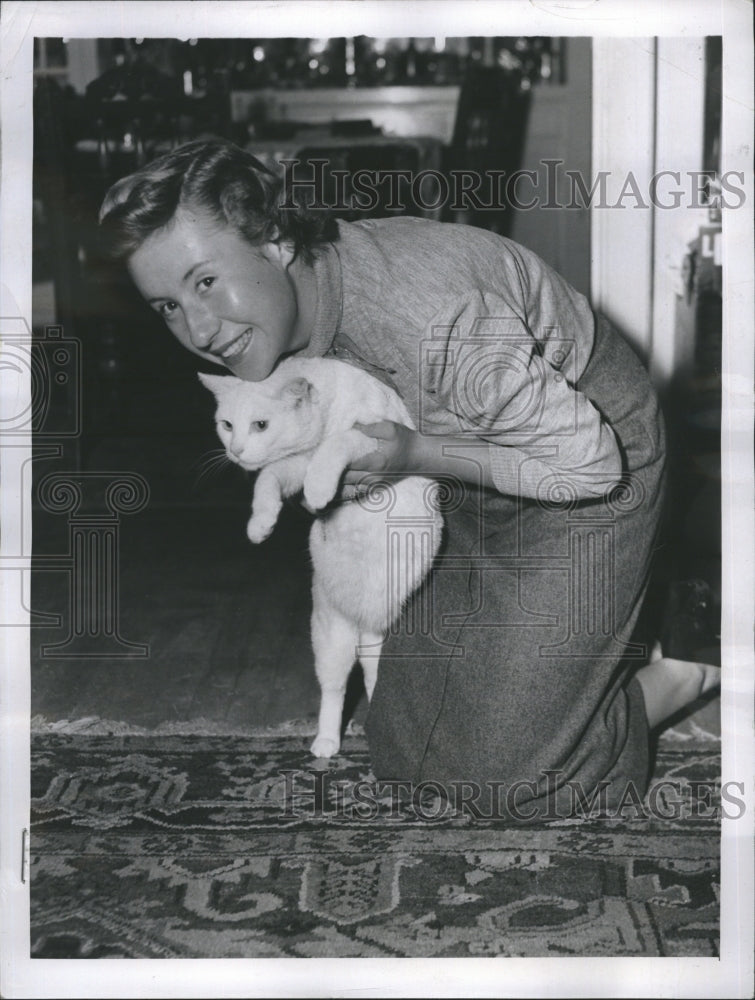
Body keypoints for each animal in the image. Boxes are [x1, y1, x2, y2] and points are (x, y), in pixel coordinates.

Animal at [198, 360, 442, 756]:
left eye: (260, 425)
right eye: (227, 425)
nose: (236, 451)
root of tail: (362, 619)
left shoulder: (375, 436)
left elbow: (337, 443)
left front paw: (318, 488)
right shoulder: (295, 463)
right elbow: (267, 479)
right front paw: (260, 523)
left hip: (378, 638)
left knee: (372, 678)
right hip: (331, 636)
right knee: (335, 688)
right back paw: (327, 741)